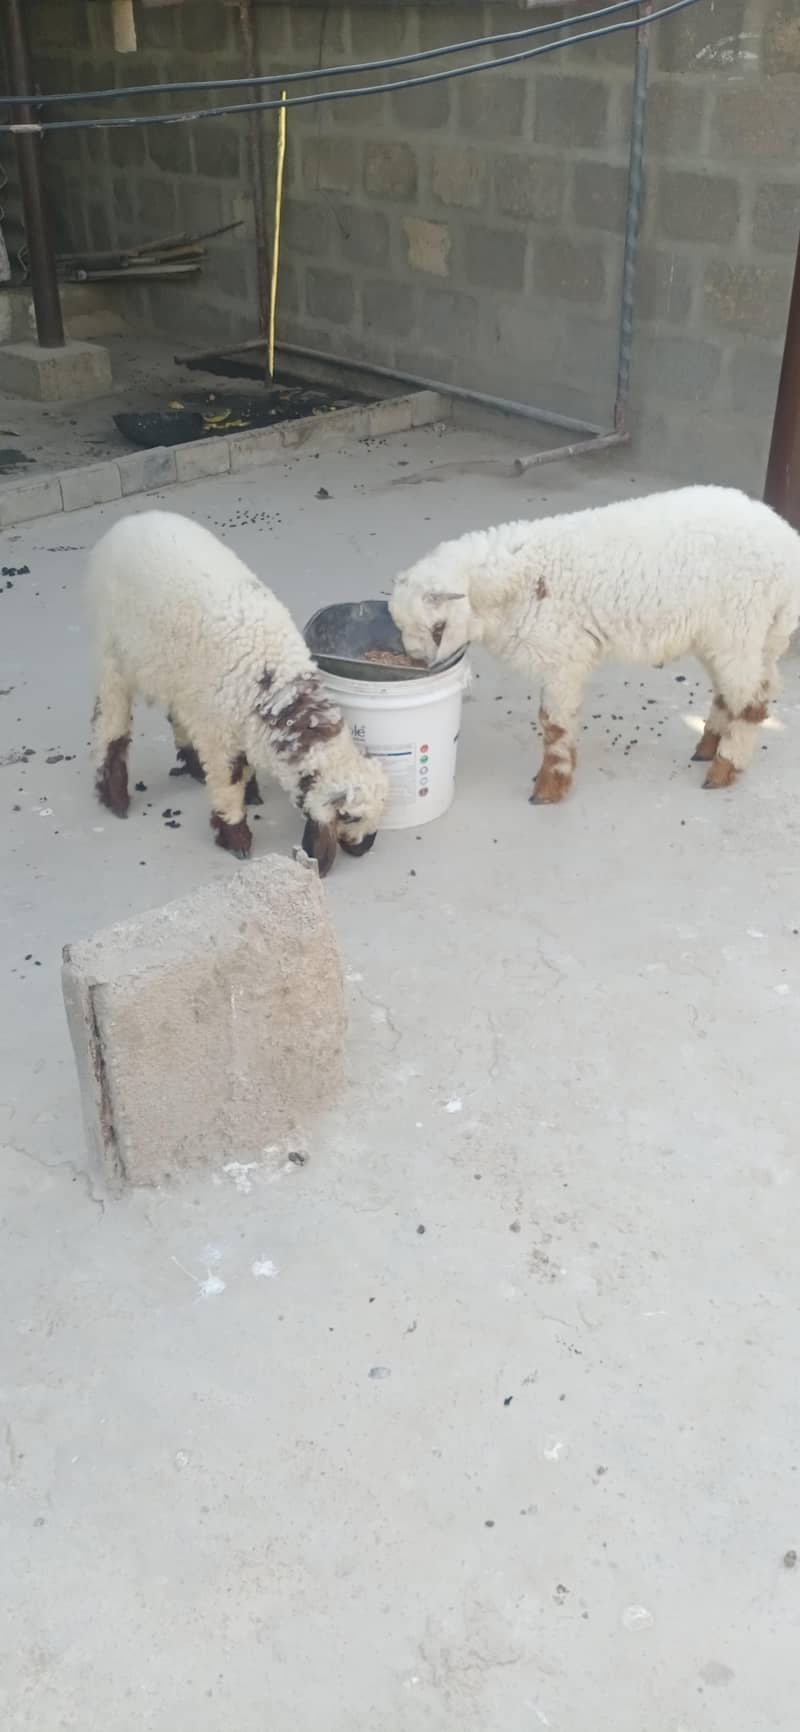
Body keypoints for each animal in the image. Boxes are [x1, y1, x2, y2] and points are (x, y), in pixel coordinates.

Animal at [87, 510, 388, 874]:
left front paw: (251, 793)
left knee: (177, 712)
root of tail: (130, 520)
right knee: (109, 721)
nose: (365, 847)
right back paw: (114, 797)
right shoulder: (220, 733)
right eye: (349, 817)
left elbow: (241, 767)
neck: (273, 684)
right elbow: (227, 781)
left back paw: (190, 765)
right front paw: (236, 838)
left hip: (178, 673)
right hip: (111, 648)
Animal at [389, 485, 800, 802]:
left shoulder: (563, 656)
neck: (515, 585)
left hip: (740, 625)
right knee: (736, 691)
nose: (426, 666)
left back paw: (724, 768)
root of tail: (786, 540)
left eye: (439, 627)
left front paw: (549, 788)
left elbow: (553, 723)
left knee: (752, 701)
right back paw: (707, 747)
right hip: (730, 634)